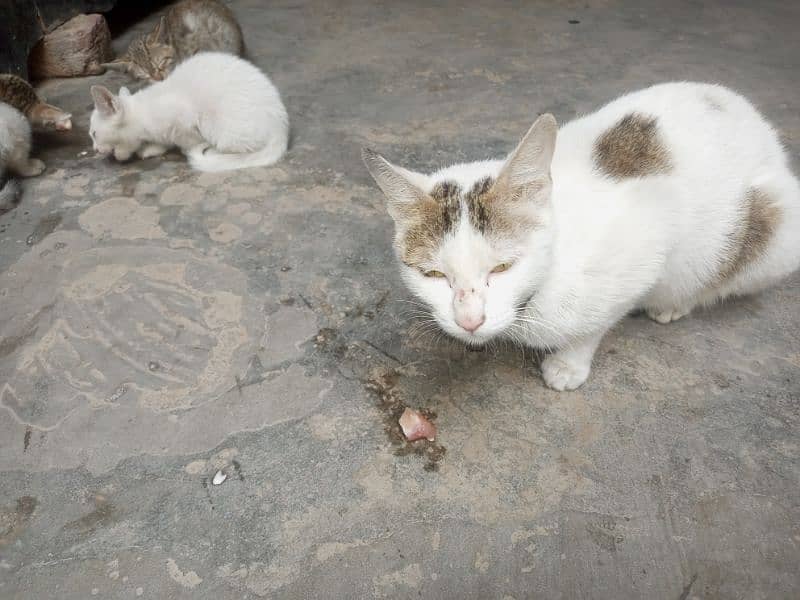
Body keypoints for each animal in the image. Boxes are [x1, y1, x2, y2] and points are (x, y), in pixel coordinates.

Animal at [89, 50, 290, 172]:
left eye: (94, 134)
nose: (95, 149)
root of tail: (281, 129)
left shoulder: (183, 119)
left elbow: (187, 140)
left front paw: (186, 148)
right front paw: (153, 147)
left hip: (215, 124)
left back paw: (214, 151)